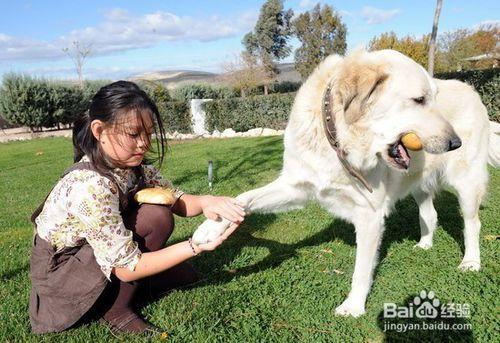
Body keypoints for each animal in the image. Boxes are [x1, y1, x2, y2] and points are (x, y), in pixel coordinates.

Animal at [192, 49, 500, 318]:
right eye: (420, 100)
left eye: (431, 98)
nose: (455, 142)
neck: (338, 139)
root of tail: (473, 92)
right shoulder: (295, 186)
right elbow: (245, 196)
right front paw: (211, 226)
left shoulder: (370, 215)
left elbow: (361, 270)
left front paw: (353, 306)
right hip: (418, 184)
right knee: (430, 214)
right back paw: (425, 244)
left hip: (466, 185)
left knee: (473, 224)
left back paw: (471, 261)